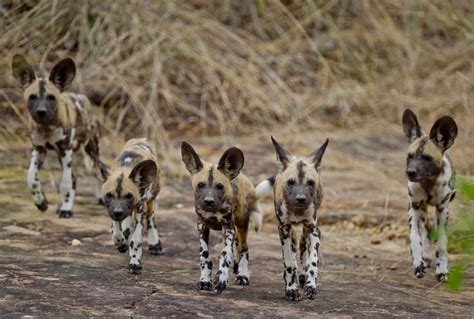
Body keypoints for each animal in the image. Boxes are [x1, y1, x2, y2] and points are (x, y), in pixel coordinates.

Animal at [11, 55, 101, 220]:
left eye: (51, 98)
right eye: (32, 97)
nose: (41, 111)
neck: (47, 128)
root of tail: (83, 97)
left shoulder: (65, 150)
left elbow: (65, 183)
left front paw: (66, 209)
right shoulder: (39, 149)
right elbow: (31, 177)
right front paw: (40, 202)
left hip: (90, 153)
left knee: (97, 173)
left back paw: (99, 198)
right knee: (74, 178)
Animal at [92, 138, 163, 276]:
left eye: (129, 195)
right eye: (109, 195)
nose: (118, 212)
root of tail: (141, 139)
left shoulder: (140, 209)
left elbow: (135, 240)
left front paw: (135, 263)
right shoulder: (112, 211)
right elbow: (116, 232)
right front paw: (120, 242)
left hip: (151, 199)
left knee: (151, 219)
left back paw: (154, 243)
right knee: (127, 224)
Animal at [181, 142, 262, 296]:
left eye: (220, 186)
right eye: (200, 185)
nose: (208, 201)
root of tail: (243, 176)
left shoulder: (228, 228)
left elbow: (225, 254)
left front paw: (221, 279)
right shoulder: (202, 226)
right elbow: (204, 255)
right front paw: (205, 280)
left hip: (241, 225)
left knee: (244, 248)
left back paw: (243, 275)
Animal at [258, 138, 328, 302]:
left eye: (311, 183)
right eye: (290, 182)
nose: (301, 199)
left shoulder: (313, 229)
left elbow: (312, 261)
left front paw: (310, 286)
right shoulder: (283, 229)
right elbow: (289, 262)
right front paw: (291, 289)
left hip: (307, 229)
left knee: (303, 247)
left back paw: (303, 276)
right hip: (290, 231)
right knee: (294, 251)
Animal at [402, 110, 458, 282]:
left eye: (428, 158)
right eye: (410, 156)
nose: (410, 172)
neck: (429, 184)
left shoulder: (442, 210)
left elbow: (442, 243)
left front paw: (442, 270)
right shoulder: (414, 208)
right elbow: (415, 238)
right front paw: (418, 263)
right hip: (422, 211)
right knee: (425, 231)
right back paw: (424, 258)